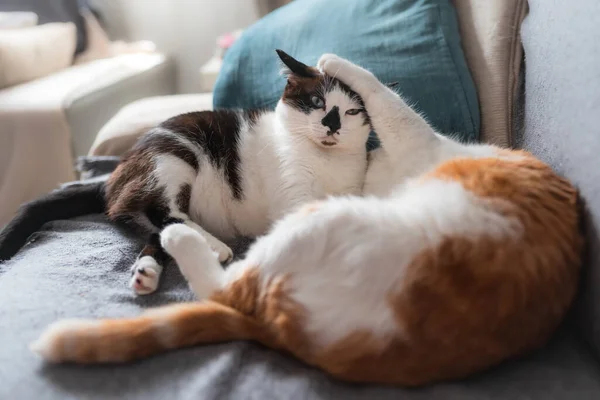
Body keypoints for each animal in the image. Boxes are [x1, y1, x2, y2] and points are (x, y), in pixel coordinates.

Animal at [0, 49, 370, 294]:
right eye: (316, 102)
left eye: (352, 111)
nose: (332, 124)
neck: (325, 161)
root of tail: (117, 172)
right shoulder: (291, 191)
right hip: (175, 155)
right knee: (157, 211)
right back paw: (212, 247)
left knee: (151, 230)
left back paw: (147, 271)